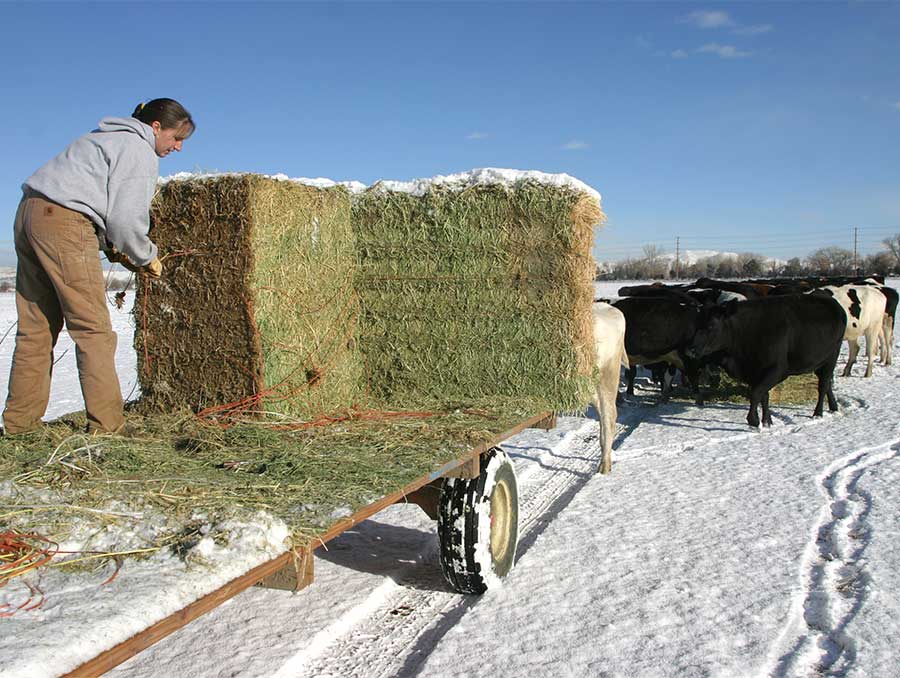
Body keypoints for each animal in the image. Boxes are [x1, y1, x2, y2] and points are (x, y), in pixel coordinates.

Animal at [684, 296, 848, 428]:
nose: (689, 349)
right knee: (826, 383)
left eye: (711, 325)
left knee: (823, 385)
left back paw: (818, 413)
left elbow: (756, 393)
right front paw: (767, 422)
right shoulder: (753, 372)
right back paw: (833, 407)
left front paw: (754, 421)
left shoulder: (777, 369)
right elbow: (764, 395)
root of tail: (833, 302)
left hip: (832, 356)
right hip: (820, 362)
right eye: (696, 324)